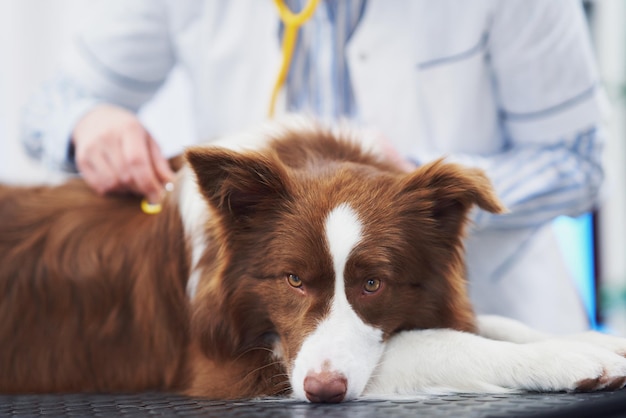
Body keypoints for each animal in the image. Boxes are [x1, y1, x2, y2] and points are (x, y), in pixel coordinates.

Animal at [1, 120, 624, 402]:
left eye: (374, 283)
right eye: (293, 279)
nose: (324, 393)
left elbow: (491, 323)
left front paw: (599, 339)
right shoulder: (233, 368)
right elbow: (443, 343)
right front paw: (569, 356)